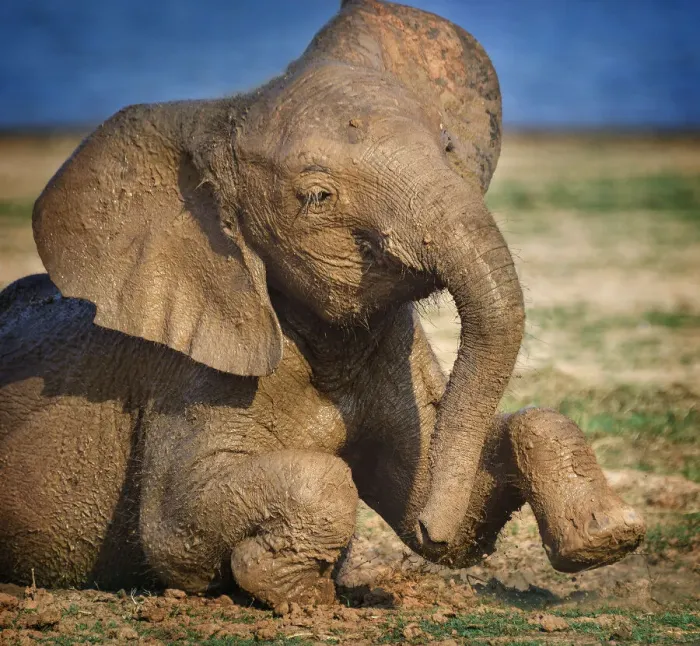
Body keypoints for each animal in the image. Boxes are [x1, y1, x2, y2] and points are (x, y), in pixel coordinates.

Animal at [0, 0, 645, 610]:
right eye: (317, 196)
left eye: (447, 148)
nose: (432, 529)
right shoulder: (191, 373)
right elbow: (175, 525)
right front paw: (297, 591)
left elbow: (447, 483)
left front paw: (606, 536)